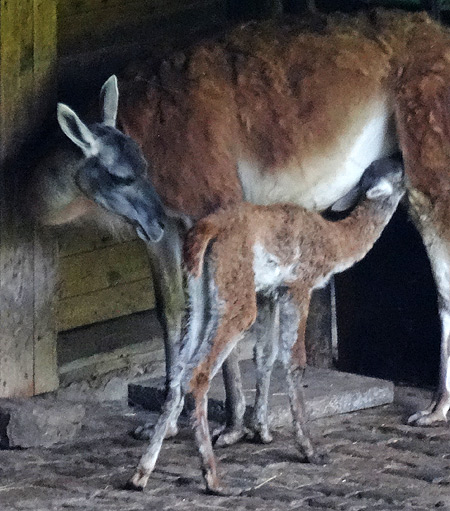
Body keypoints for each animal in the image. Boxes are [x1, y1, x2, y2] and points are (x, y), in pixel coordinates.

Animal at [129, 157, 404, 496]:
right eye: (399, 172)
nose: (402, 159)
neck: (335, 241)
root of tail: (208, 229)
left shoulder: (270, 293)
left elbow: (265, 354)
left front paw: (262, 431)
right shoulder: (298, 286)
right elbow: (295, 361)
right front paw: (309, 450)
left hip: (200, 297)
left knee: (180, 375)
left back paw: (140, 474)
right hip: (235, 294)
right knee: (198, 375)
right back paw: (212, 478)